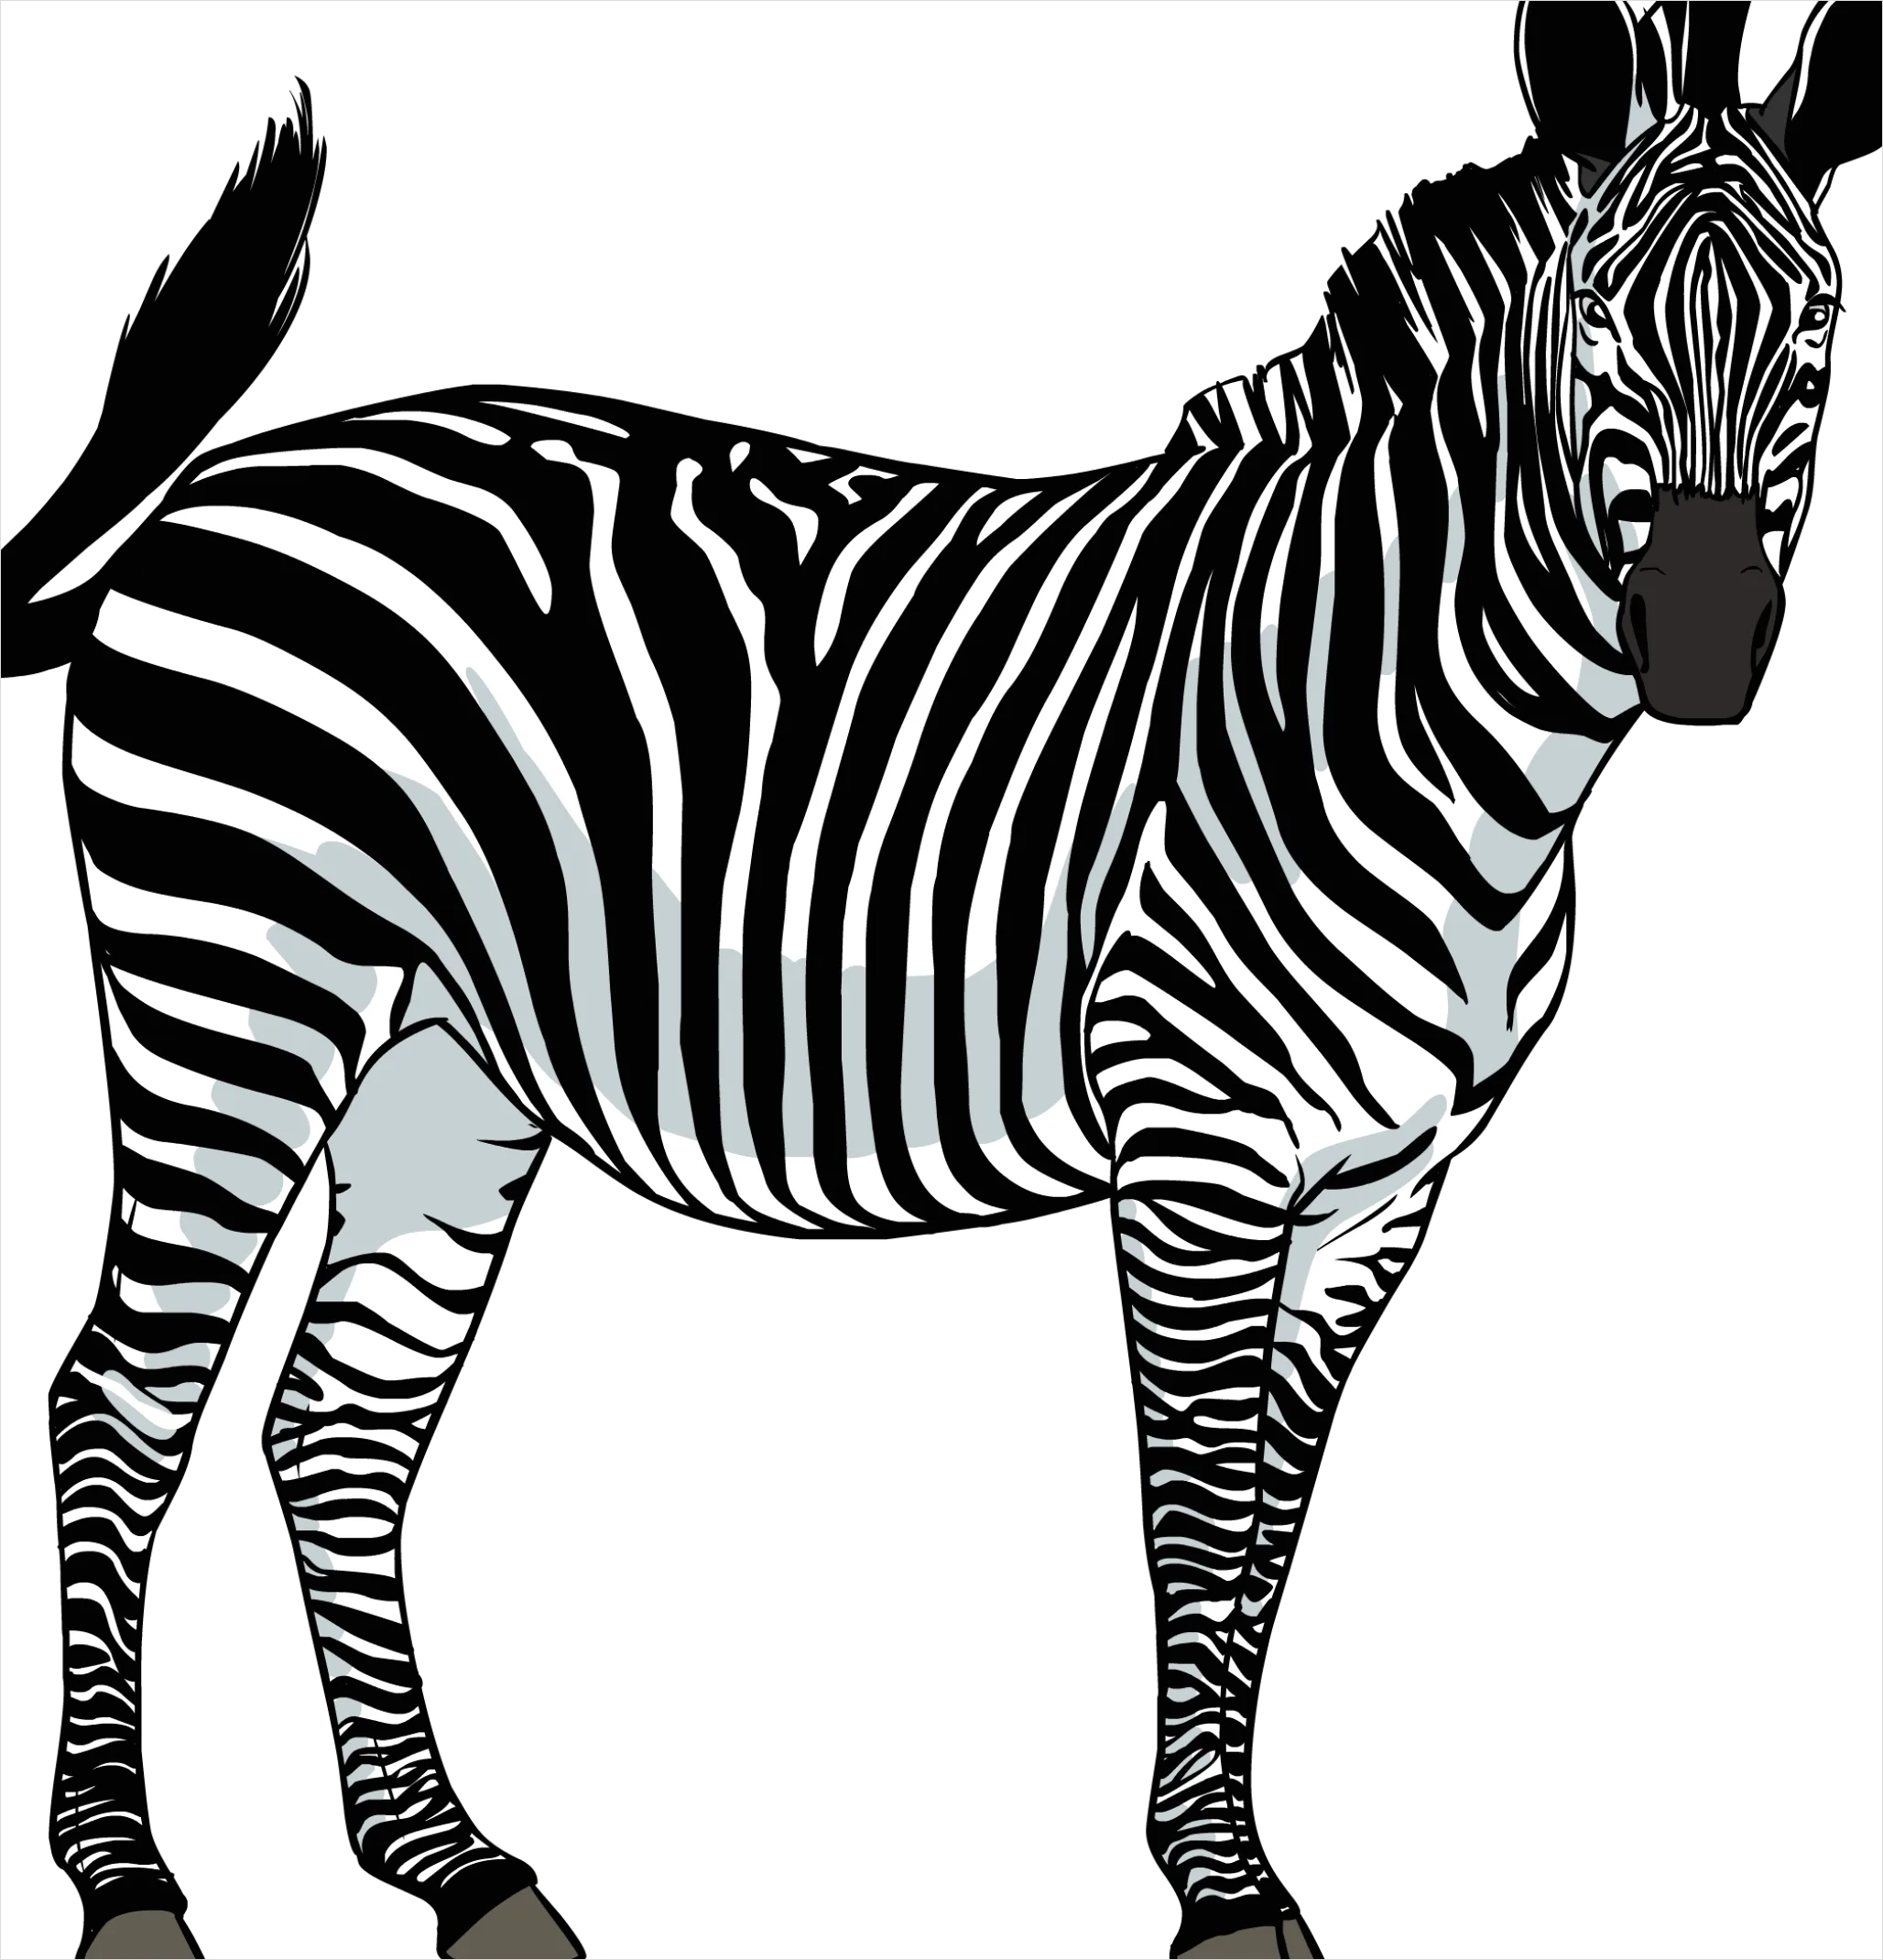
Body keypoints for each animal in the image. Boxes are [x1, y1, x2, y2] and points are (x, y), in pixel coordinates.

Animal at [55, 6, 1850, 1956]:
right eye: (1599, 322)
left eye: (1816, 325)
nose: (1699, 644)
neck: (1412, 723)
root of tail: (229, 483)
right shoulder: (1200, 1138)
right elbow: (1200, 1505)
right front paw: (1214, 1891)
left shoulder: (1386, 1186)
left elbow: (1275, 1527)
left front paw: (1238, 1854)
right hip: (231, 1000)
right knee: (122, 1410)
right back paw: (118, 1880)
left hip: (441, 1074)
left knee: (336, 1432)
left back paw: (457, 1872)